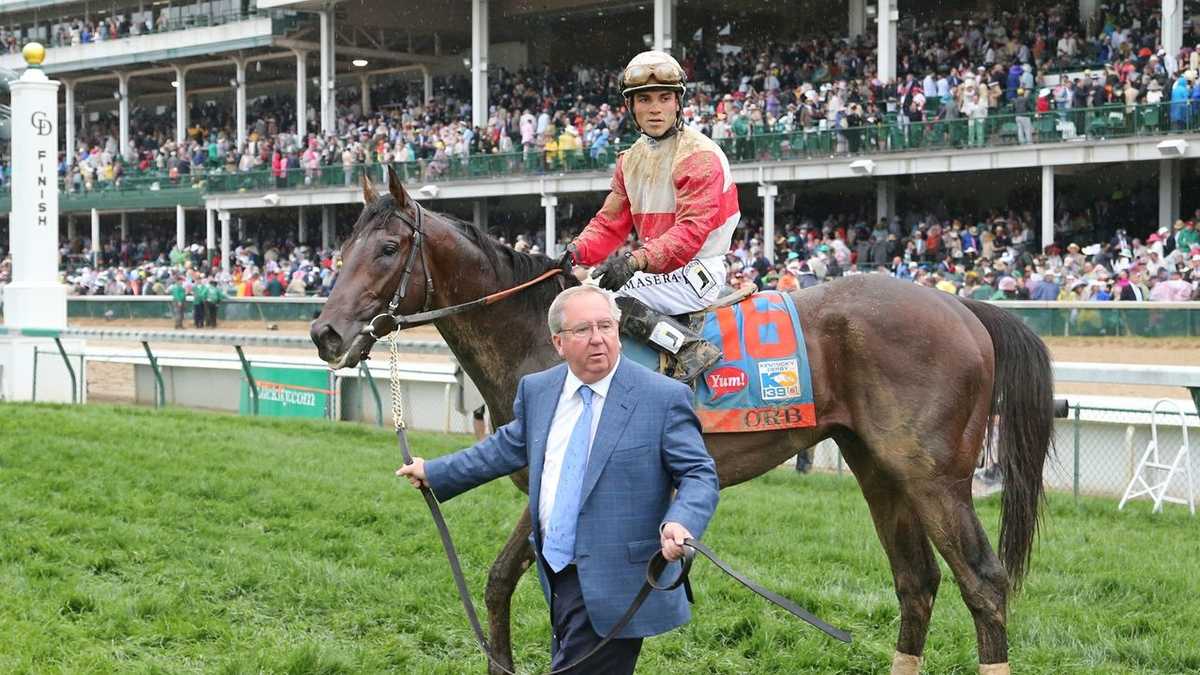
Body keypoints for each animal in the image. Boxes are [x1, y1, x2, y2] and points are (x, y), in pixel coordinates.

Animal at [310, 171, 1055, 675]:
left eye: (386, 248)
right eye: (342, 245)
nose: (324, 333)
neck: (539, 334)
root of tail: (964, 308)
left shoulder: (558, 479)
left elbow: (502, 579)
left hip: (934, 477)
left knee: (983, 583)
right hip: (878, 468)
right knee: (916, 583)